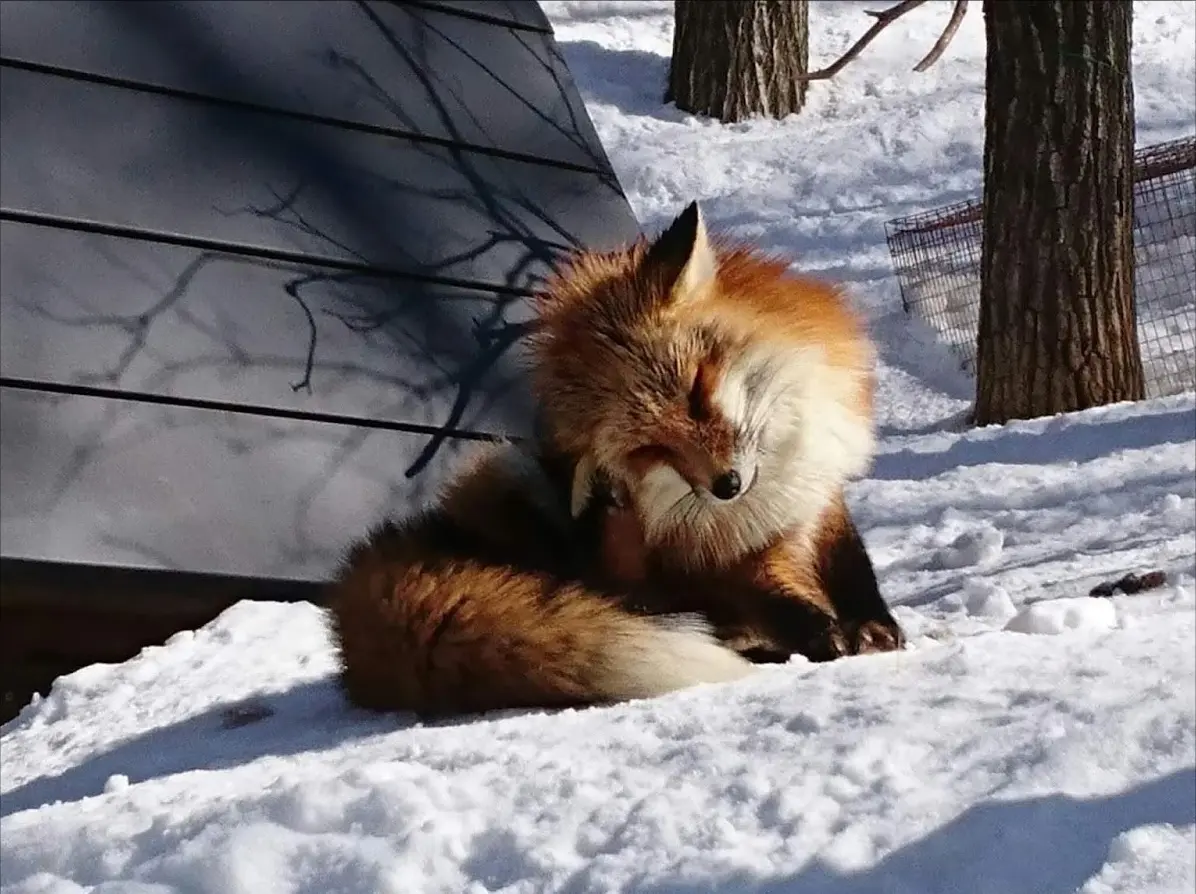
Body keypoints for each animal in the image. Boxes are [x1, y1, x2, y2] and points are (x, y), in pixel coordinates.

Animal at [322, 202, 899, 718]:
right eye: (652, 449)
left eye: (696, 393)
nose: (727, 486)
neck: (779, 473)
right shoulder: (731, 557)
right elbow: (776, 598)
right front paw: (825, 635)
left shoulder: (818, 509)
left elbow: (853, 570)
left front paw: (874, 627)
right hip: (548, 500)